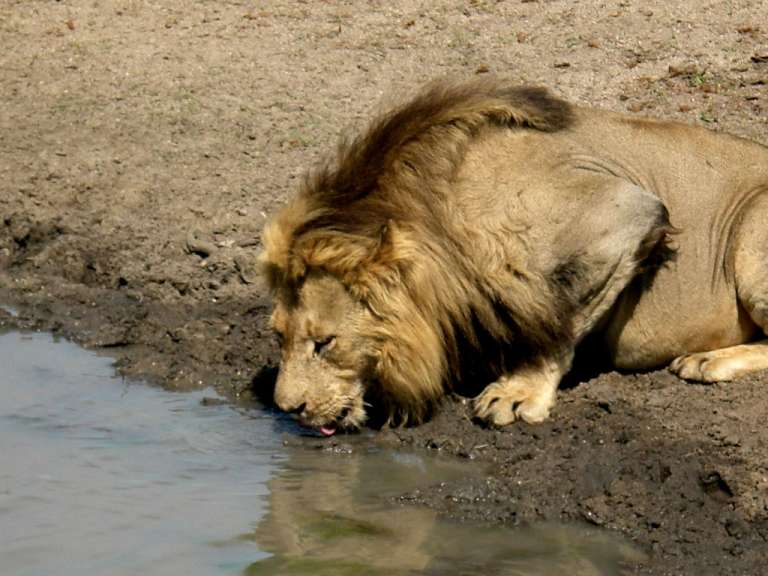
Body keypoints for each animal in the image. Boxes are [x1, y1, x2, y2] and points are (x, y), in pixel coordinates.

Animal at [259, 77, 768, 434]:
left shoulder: (624, 215)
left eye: (325, 342)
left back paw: (708, 360)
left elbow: (559, 321)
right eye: (279, 336)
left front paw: (519, 392)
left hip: (751, 229)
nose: (288, 409)